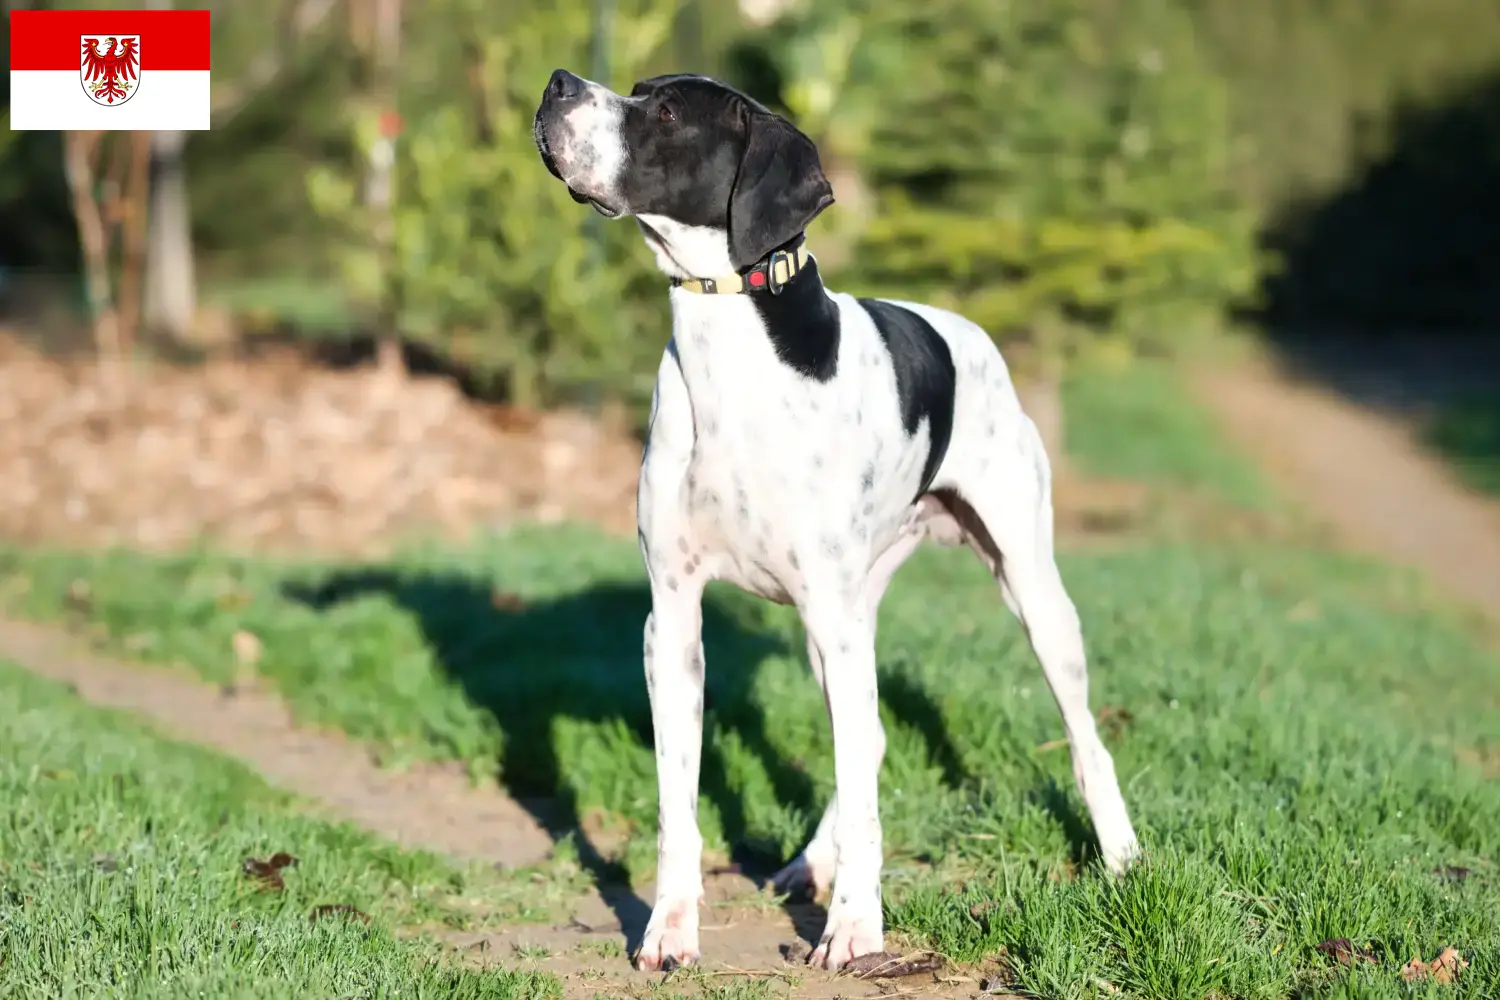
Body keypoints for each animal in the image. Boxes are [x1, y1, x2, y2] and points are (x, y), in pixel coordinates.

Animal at [534, 68, 1128, 971]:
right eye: (635, 89)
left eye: (666, 113)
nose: (560, 83)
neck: (730, 353)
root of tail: (967, 331)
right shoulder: (672, 619)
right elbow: (679, 804)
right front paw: (670, 927)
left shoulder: (833, 619)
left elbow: (860, 783)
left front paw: (854, 928)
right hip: (841, 624)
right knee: (871, 742)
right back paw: (812, 861)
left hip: (1024, 592)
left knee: (1082, 734)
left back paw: (1123, 855)